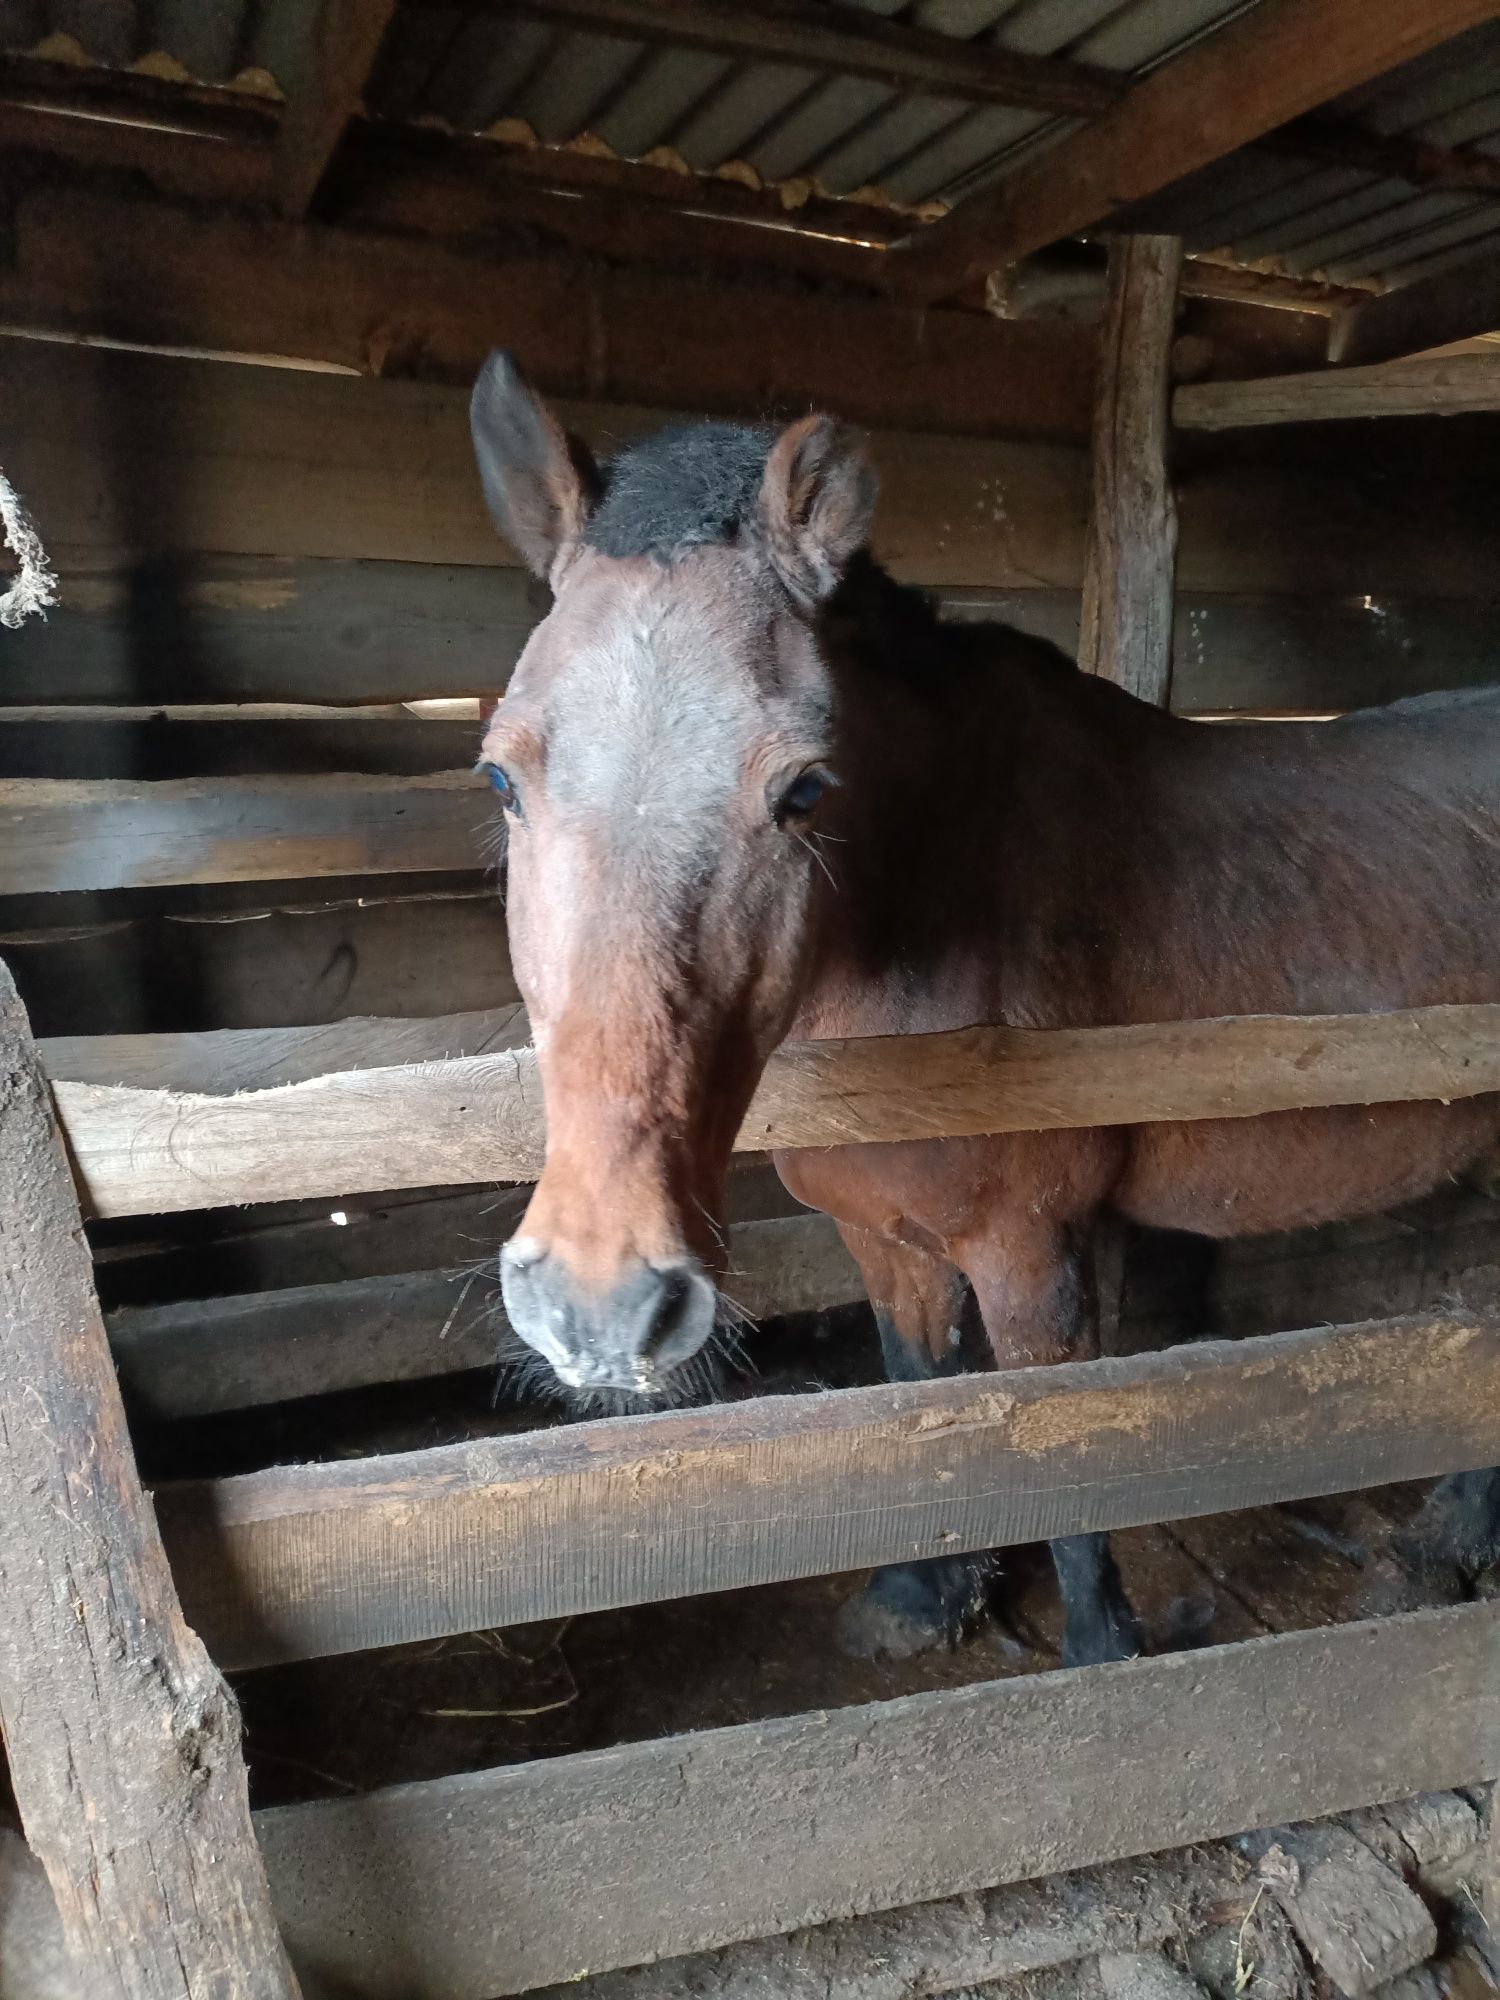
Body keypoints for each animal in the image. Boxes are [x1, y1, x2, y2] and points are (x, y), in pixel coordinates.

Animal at [470, 356, 1500, 1672]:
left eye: (803, 788)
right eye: (503, 777)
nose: (600, 1302)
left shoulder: (1030, 1250)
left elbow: (1056, 1467)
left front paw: (1098, 1650)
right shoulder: (884, 1237)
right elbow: (925, 1394)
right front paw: (923, 1595)